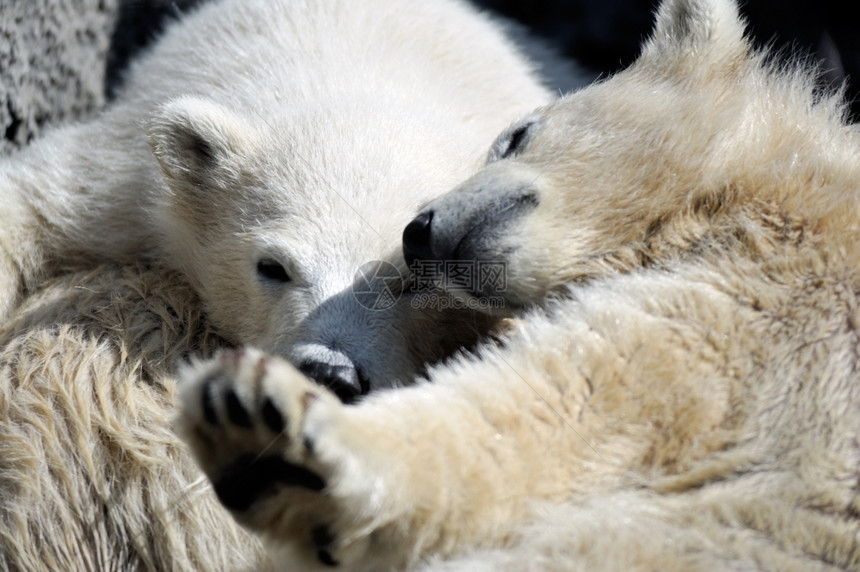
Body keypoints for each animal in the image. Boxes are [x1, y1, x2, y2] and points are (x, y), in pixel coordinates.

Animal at [0, 0, 552, 402]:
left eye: (418, 275)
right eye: (273, 267)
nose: (330, 373)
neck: (345, 79)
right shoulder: (127, 186)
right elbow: (33, 199)